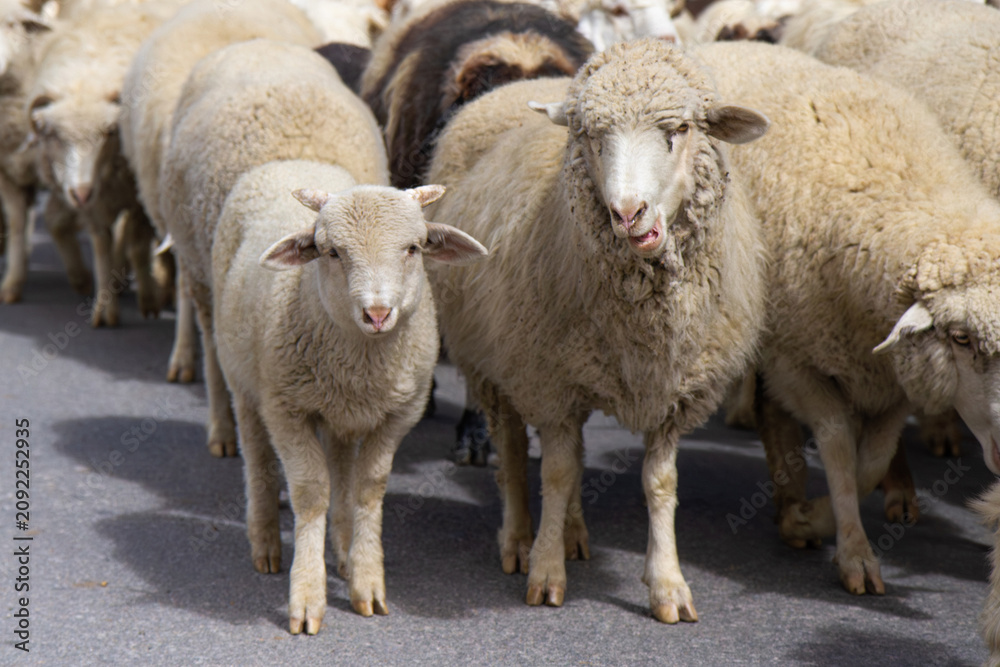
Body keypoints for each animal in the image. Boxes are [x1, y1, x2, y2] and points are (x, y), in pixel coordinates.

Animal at [213, 160, 486, 635]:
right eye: (332, 252)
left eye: (414, 248)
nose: (377, 313)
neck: (361, 360)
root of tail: (291, 160)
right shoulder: (286, 410)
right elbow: (310, 492)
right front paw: (307, 595)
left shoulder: (399, 415)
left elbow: (367, 489)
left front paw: (365, 580)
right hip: (244, 379)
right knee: (257, 458)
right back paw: (264, 542)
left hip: (339, 413)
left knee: (341, 465)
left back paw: (341, 549)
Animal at [425, 38, 770, 622]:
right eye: (590, 135)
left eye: (679, 129)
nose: (627, 212)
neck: (643, 319)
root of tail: (521, 85)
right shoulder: (549, 381)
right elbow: (557, 474)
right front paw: (545, 573)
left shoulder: (674, 389)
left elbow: (659, 483)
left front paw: (668, 585)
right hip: (494, 359)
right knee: (513, 452)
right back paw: (519, 538)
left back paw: (573, 533)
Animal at [690, 40, 1000, 595]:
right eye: (961, 337)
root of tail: (727, 43)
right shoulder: (798, 358)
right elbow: (837, 448)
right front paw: (838, 541)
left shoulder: (894, 372)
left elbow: (871, 460)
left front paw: (819, 518)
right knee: (772, 413)